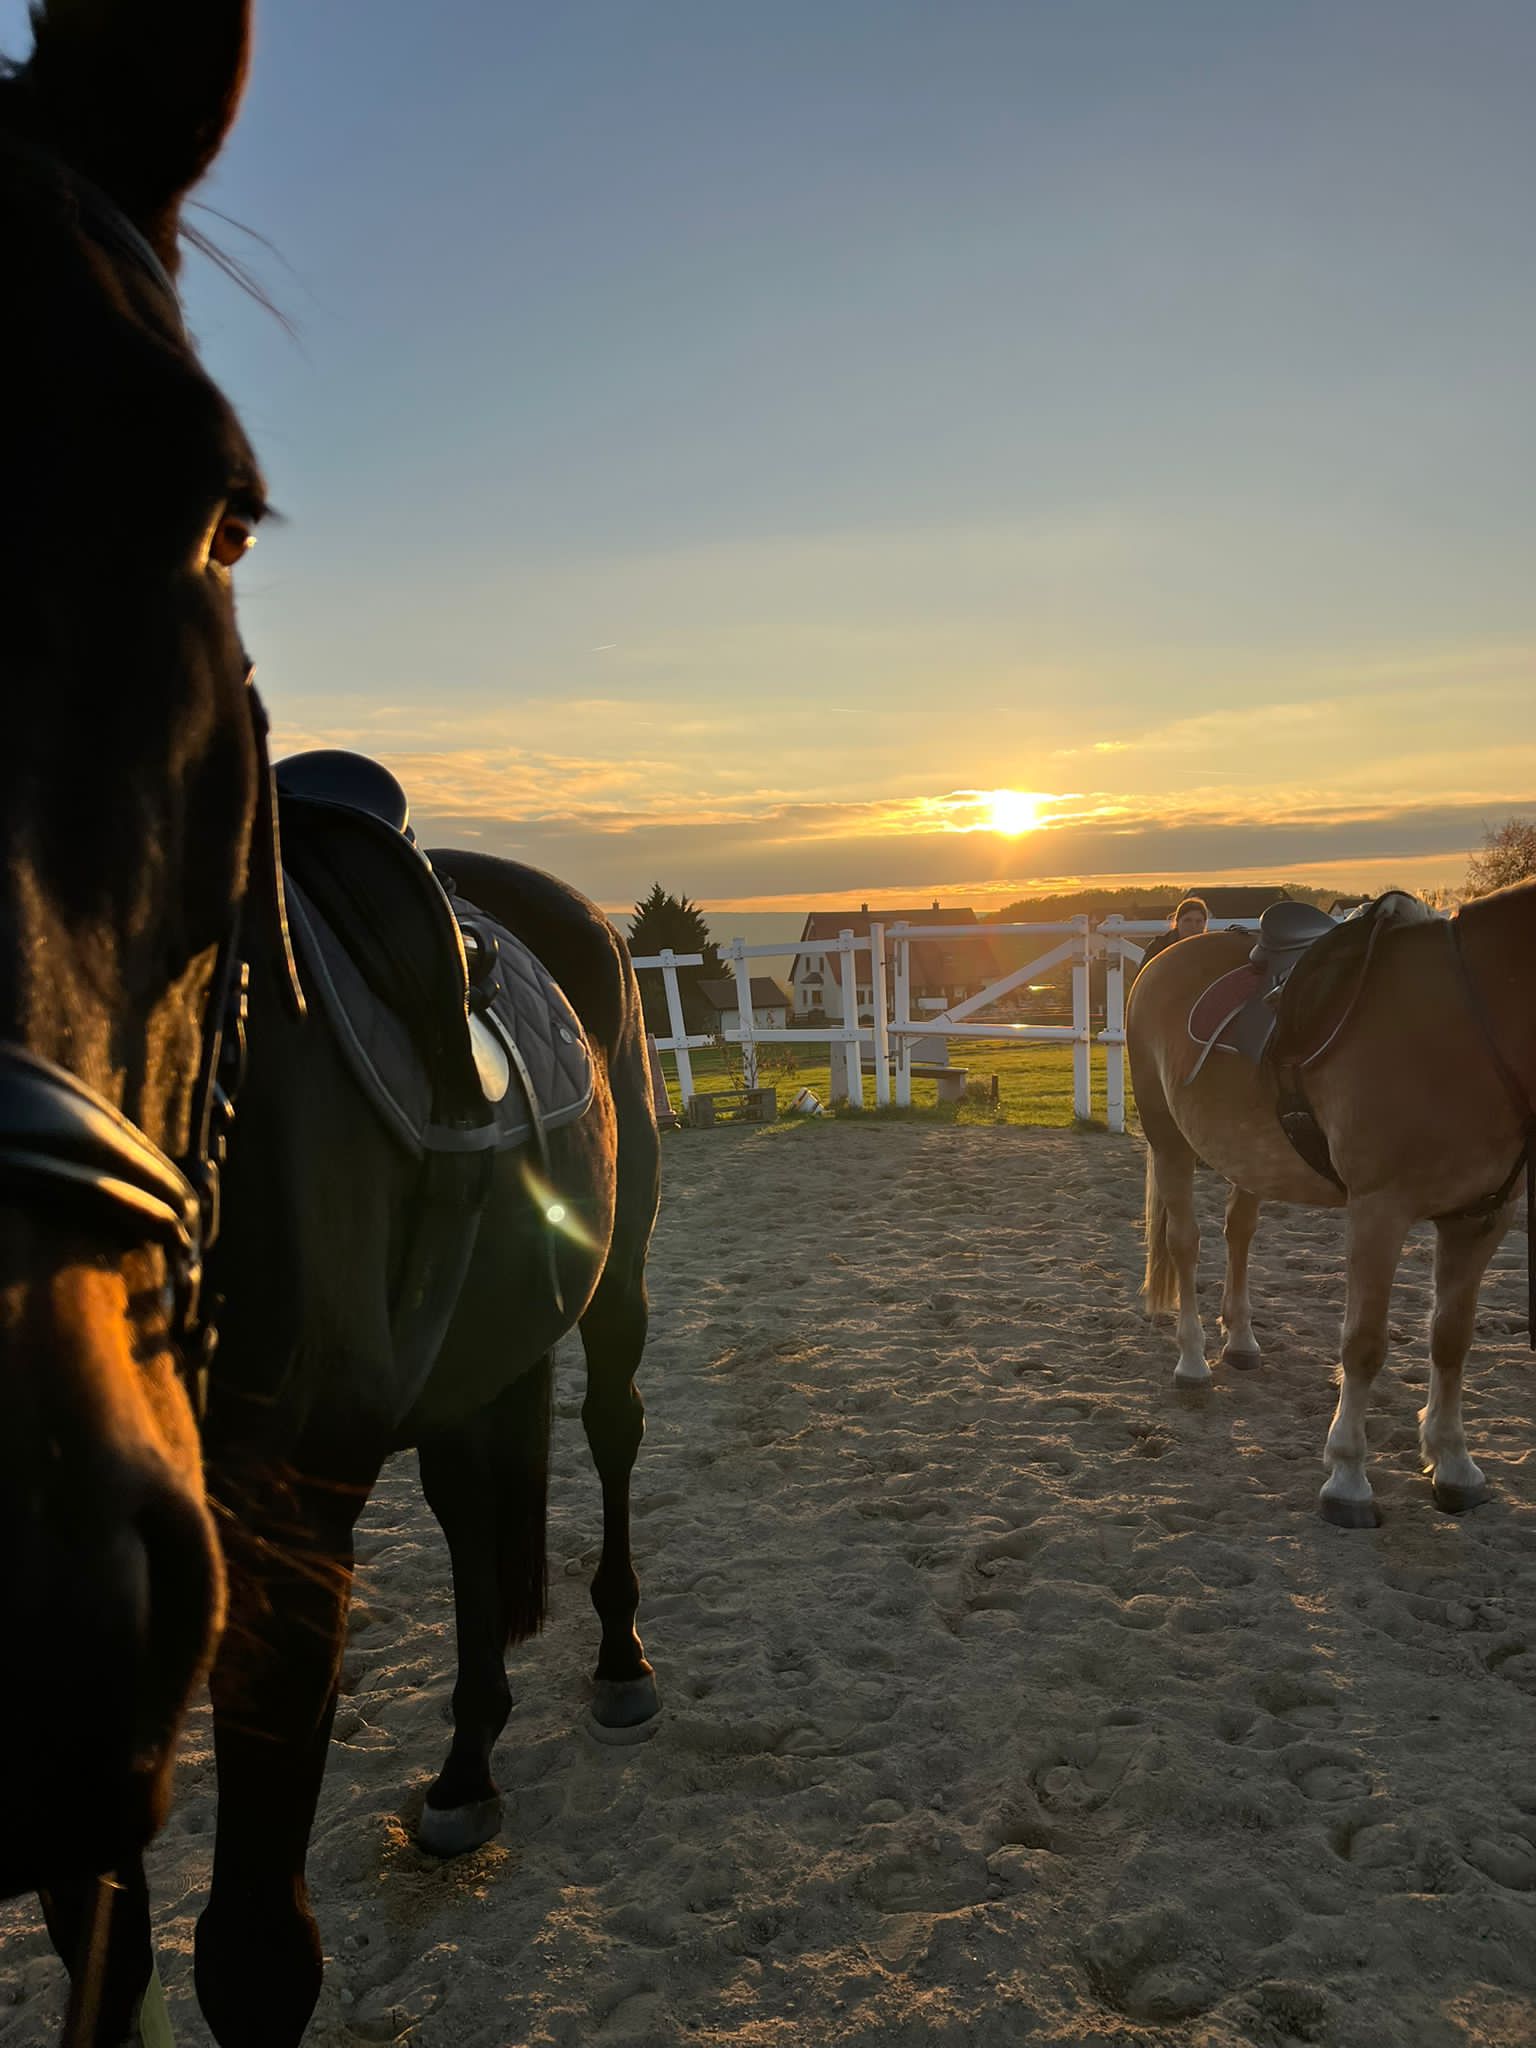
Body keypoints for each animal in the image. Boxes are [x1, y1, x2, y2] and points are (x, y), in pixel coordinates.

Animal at [1127, 888, 1533, 1529]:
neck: (1469, 1026)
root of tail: (1166, 954)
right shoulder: (1378, 1211)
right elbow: (1364, 1345)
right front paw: (1347, 1478)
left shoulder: (1482, 1219)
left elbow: (1452, 1339)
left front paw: (1453, 1464)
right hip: (1169, 1140)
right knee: (1184, 1244)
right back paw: (1193, 1362)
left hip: (1248, 1155)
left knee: (1238, 1232)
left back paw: (1241, 1341)